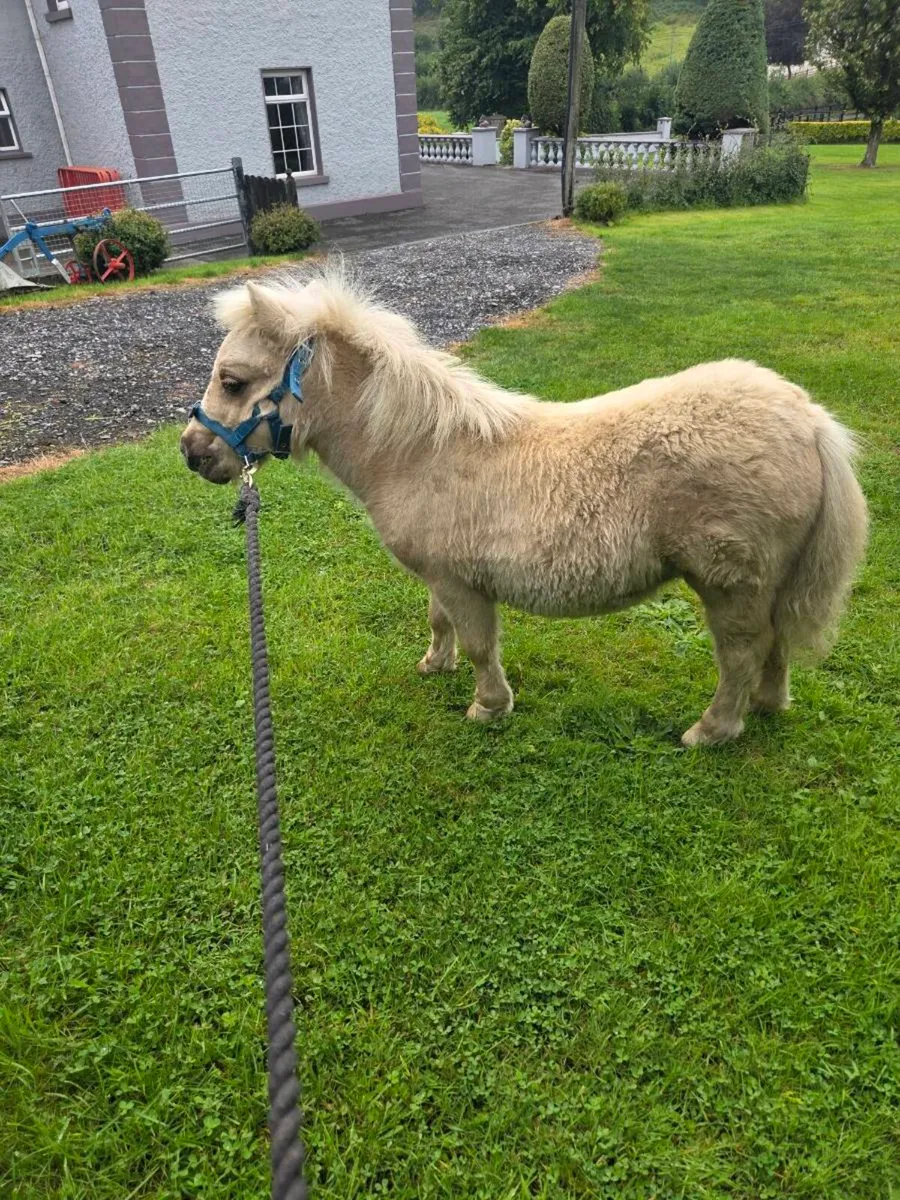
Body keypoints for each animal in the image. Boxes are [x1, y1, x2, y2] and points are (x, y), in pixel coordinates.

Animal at [180, 269, 867, 746]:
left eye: (234, 381)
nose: (192, 452)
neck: (420, 450)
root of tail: (809, 420)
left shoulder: (463, 583)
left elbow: (481, 646)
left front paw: (488, 707)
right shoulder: (442, 577)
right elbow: (439, 622)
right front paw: (435, 665)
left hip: (731, 585)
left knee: (743, 652)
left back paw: (713, 729)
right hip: (764, 583)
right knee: (775, 644)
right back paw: (767, 705)